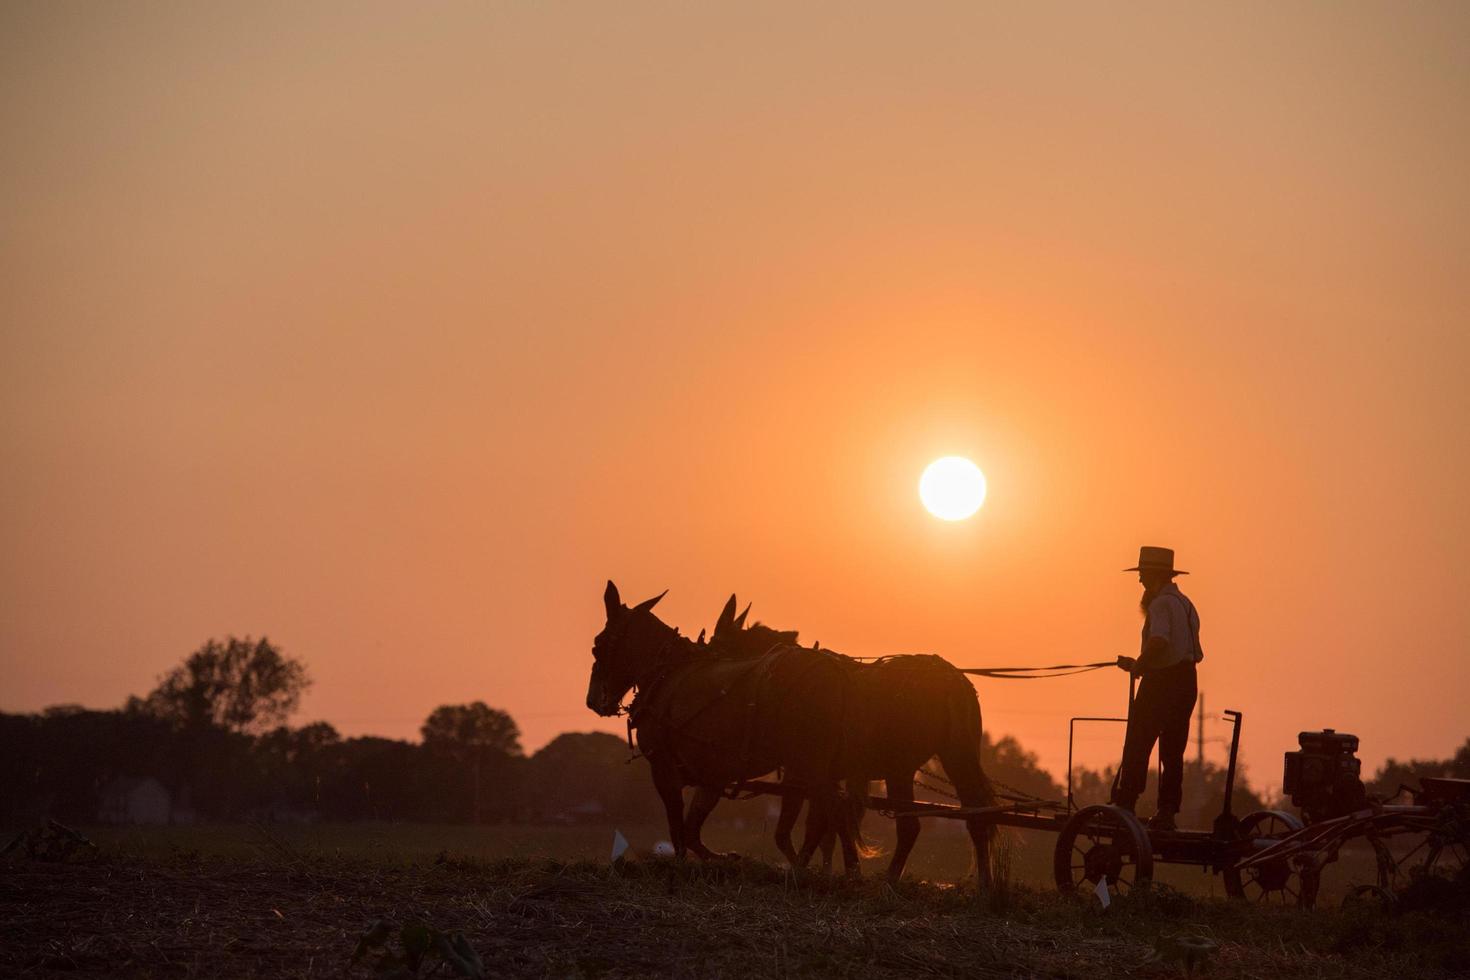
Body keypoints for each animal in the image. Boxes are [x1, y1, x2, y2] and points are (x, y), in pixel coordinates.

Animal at [582, 581, 858, 875]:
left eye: (597, 646)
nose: (593, 700)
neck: (665, 676)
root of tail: (834, 671)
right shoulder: (713, 777)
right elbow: (691, 830)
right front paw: (727, 857)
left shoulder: (664, 768)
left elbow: (678, 829)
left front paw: (687, 864)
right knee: (830, 811)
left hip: (809, 762)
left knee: (834, 808)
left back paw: (846, 869)